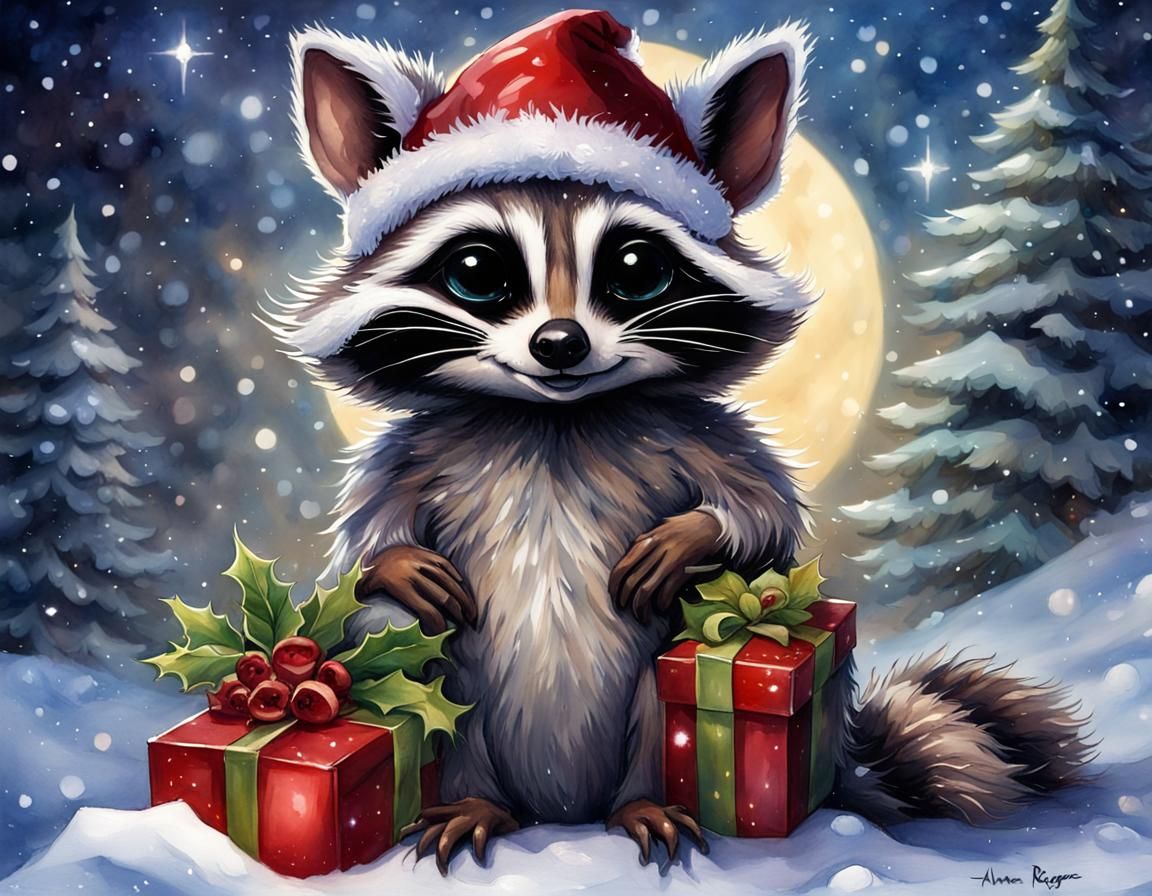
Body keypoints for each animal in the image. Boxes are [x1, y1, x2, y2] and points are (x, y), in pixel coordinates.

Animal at [271, 10, 1090, 874]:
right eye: (476, 271)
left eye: (636, 267)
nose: (559, 344)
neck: (555, 420)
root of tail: (560, 809)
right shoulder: (419, 447)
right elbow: (368, 538)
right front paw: (394, 559)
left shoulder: (696, 431)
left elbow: (763, 508)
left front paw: (699, 532)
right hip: (452, 702)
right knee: (408, 645)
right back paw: (474, 797)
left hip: (668, 691)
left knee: (664, 694)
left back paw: (644, 801)